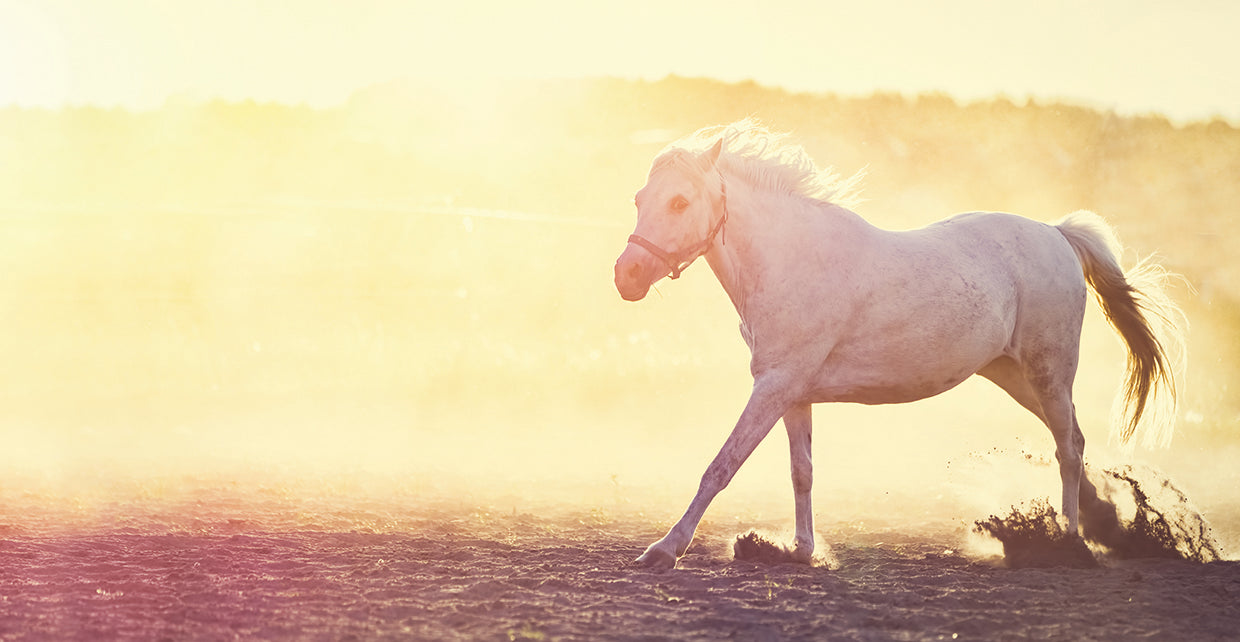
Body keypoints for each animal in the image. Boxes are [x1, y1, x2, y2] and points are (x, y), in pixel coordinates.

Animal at [612, 121, 1185, 569]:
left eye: (680, 201)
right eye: (639, 200)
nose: (627, 276)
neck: (790, 260)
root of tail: (1058, 234)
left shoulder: (774, 386)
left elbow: (721, 466)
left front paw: (664, 550)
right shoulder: (793, 392)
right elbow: (802, 473)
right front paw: (800, 550)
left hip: (1049, 371)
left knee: (1067, 448)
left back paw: (1068, 541)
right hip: (1015, 377)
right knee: (1075, 442)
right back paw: (1101, 525)